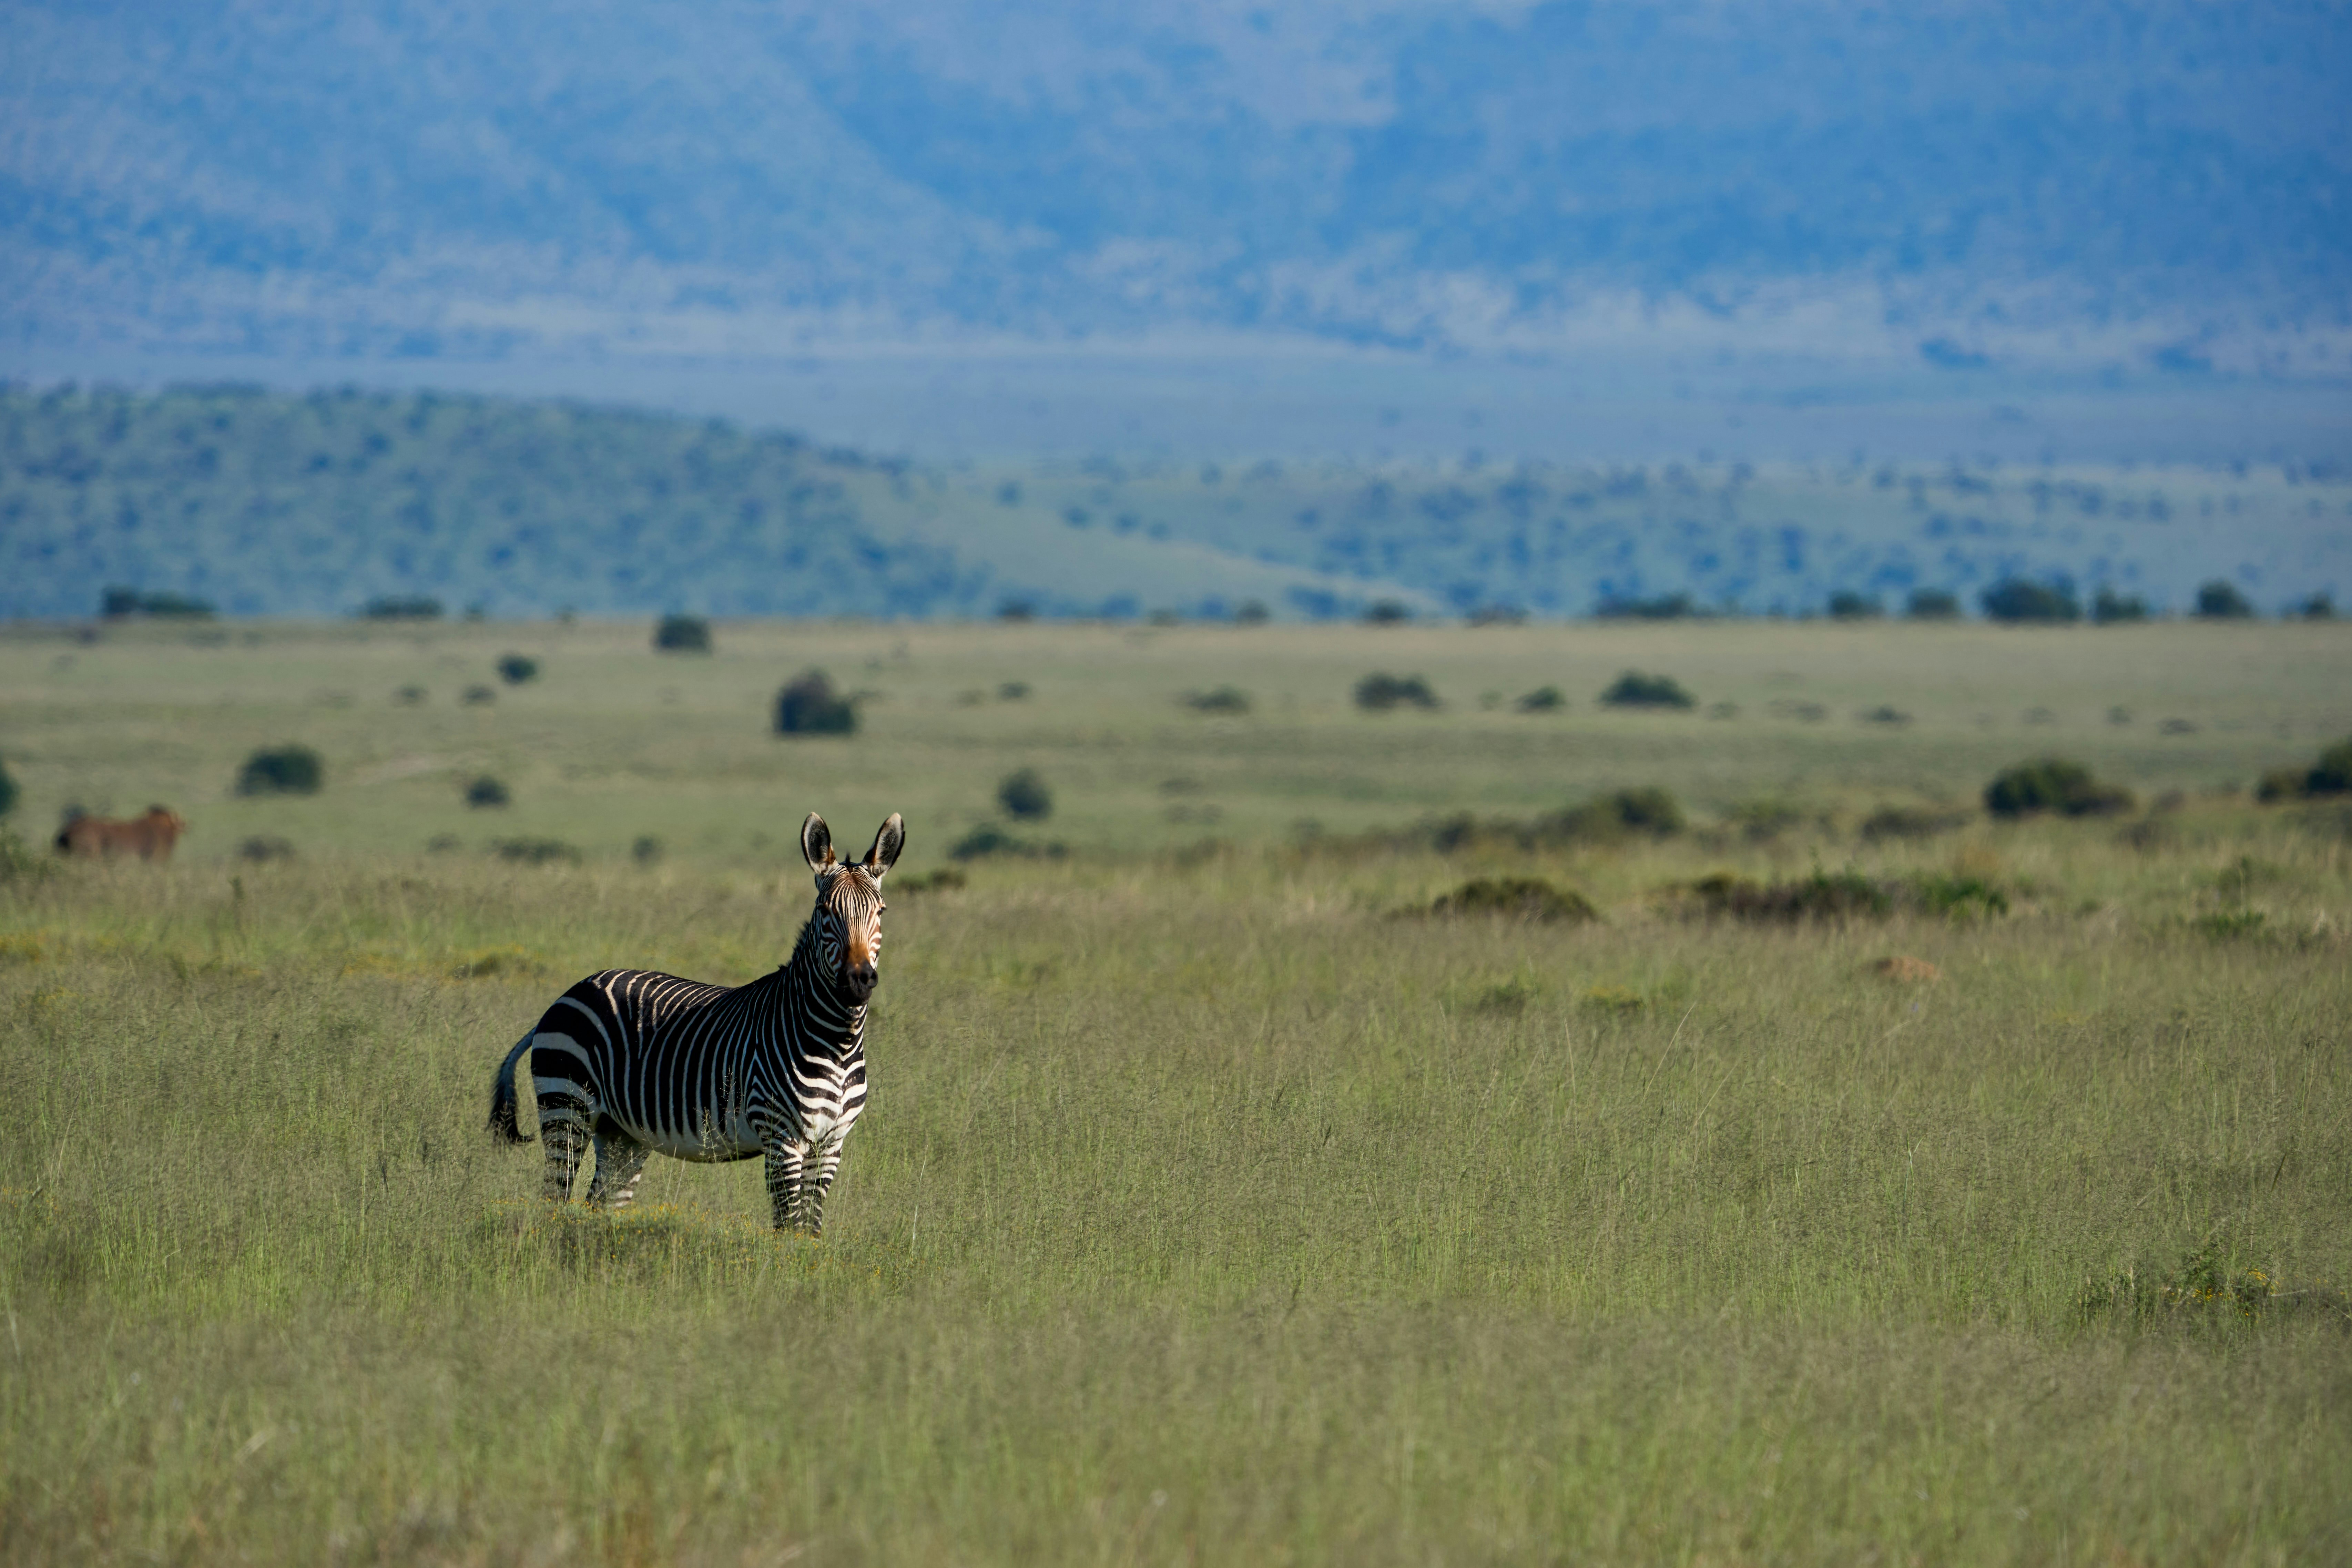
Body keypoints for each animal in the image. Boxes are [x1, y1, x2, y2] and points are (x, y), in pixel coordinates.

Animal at [486, 811, 903, 1235]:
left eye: (881, 911)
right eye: (824, 911)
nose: (857, 981)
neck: (837, 1042)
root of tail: (570, 992)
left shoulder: (830, 1144)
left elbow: (810, 1231)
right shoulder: (781, 1136)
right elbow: (787, 1229)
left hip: (621, 1132)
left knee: (598, 1204)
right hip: (566, 1105)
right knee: (554, 1198)